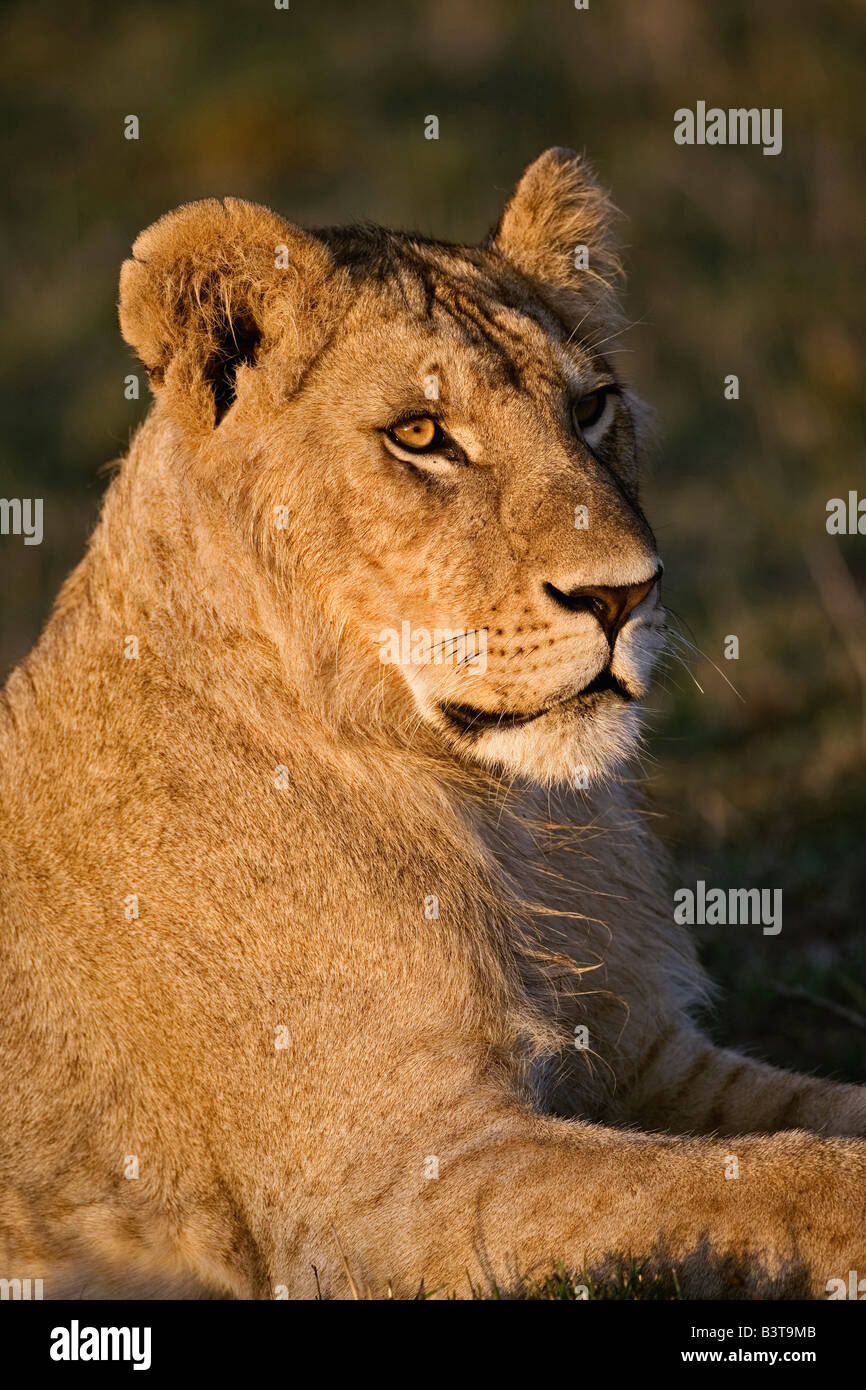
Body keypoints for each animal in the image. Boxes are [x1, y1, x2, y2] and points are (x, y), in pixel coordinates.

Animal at [1, 148, 864, 1300]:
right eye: (420, 436)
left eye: (591, 408)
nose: (623, 594)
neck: (513, 820)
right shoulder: (390, 1187)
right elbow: (766, 1182)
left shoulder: (643, 1052)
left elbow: (803, 1130)